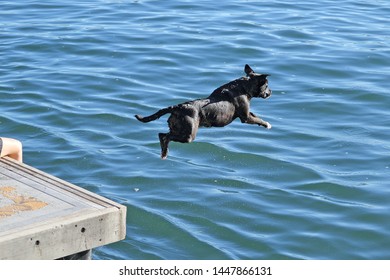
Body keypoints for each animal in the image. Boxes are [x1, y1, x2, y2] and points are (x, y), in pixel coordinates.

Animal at [136, 64, 272, 159]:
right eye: (266, 85)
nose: (271, 92)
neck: (245, 85)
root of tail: (178, 107)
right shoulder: (245, 117)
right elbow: (258, 119)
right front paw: (267, 125)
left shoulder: (248, 114)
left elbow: (255, 115)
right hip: (188, 135)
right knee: (165, 136)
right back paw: (164, 151)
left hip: (178, 128)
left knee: (162, 135)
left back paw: (164, 152)